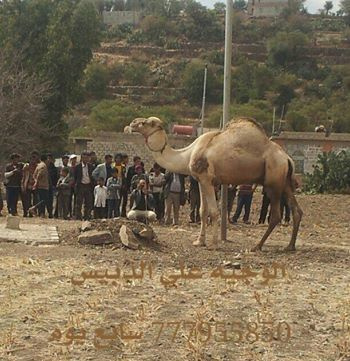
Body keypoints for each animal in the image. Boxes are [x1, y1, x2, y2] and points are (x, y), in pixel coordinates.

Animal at [126, 116, 304, 250]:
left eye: (146, 123)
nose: (132, 123)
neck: (188, 154)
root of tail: (287, 158)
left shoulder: (207, 179)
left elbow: (213, 211)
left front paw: (213, 244)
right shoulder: (200, 180)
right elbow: (203, 210)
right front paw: (199, 241)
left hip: (273, 181)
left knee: (276, 215)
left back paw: (257, 246)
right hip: (285, 182)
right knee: (297, 210)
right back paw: (290, 246)